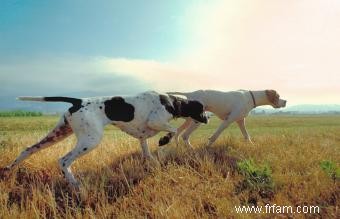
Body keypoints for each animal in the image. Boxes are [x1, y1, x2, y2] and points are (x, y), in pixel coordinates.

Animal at [3, 91, 209, 189]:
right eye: (202, 109)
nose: (208, 118)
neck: (171, 101)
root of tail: (78, 101)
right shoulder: (156, 121)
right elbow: (173, 131)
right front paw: (164, 140)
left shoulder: (142, 136)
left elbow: (148, 154)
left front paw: (155, 164)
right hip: (90, 140)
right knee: (63, 161)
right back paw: (76, 185)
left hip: (58, 134)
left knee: (28, 149)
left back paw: (7, 171)